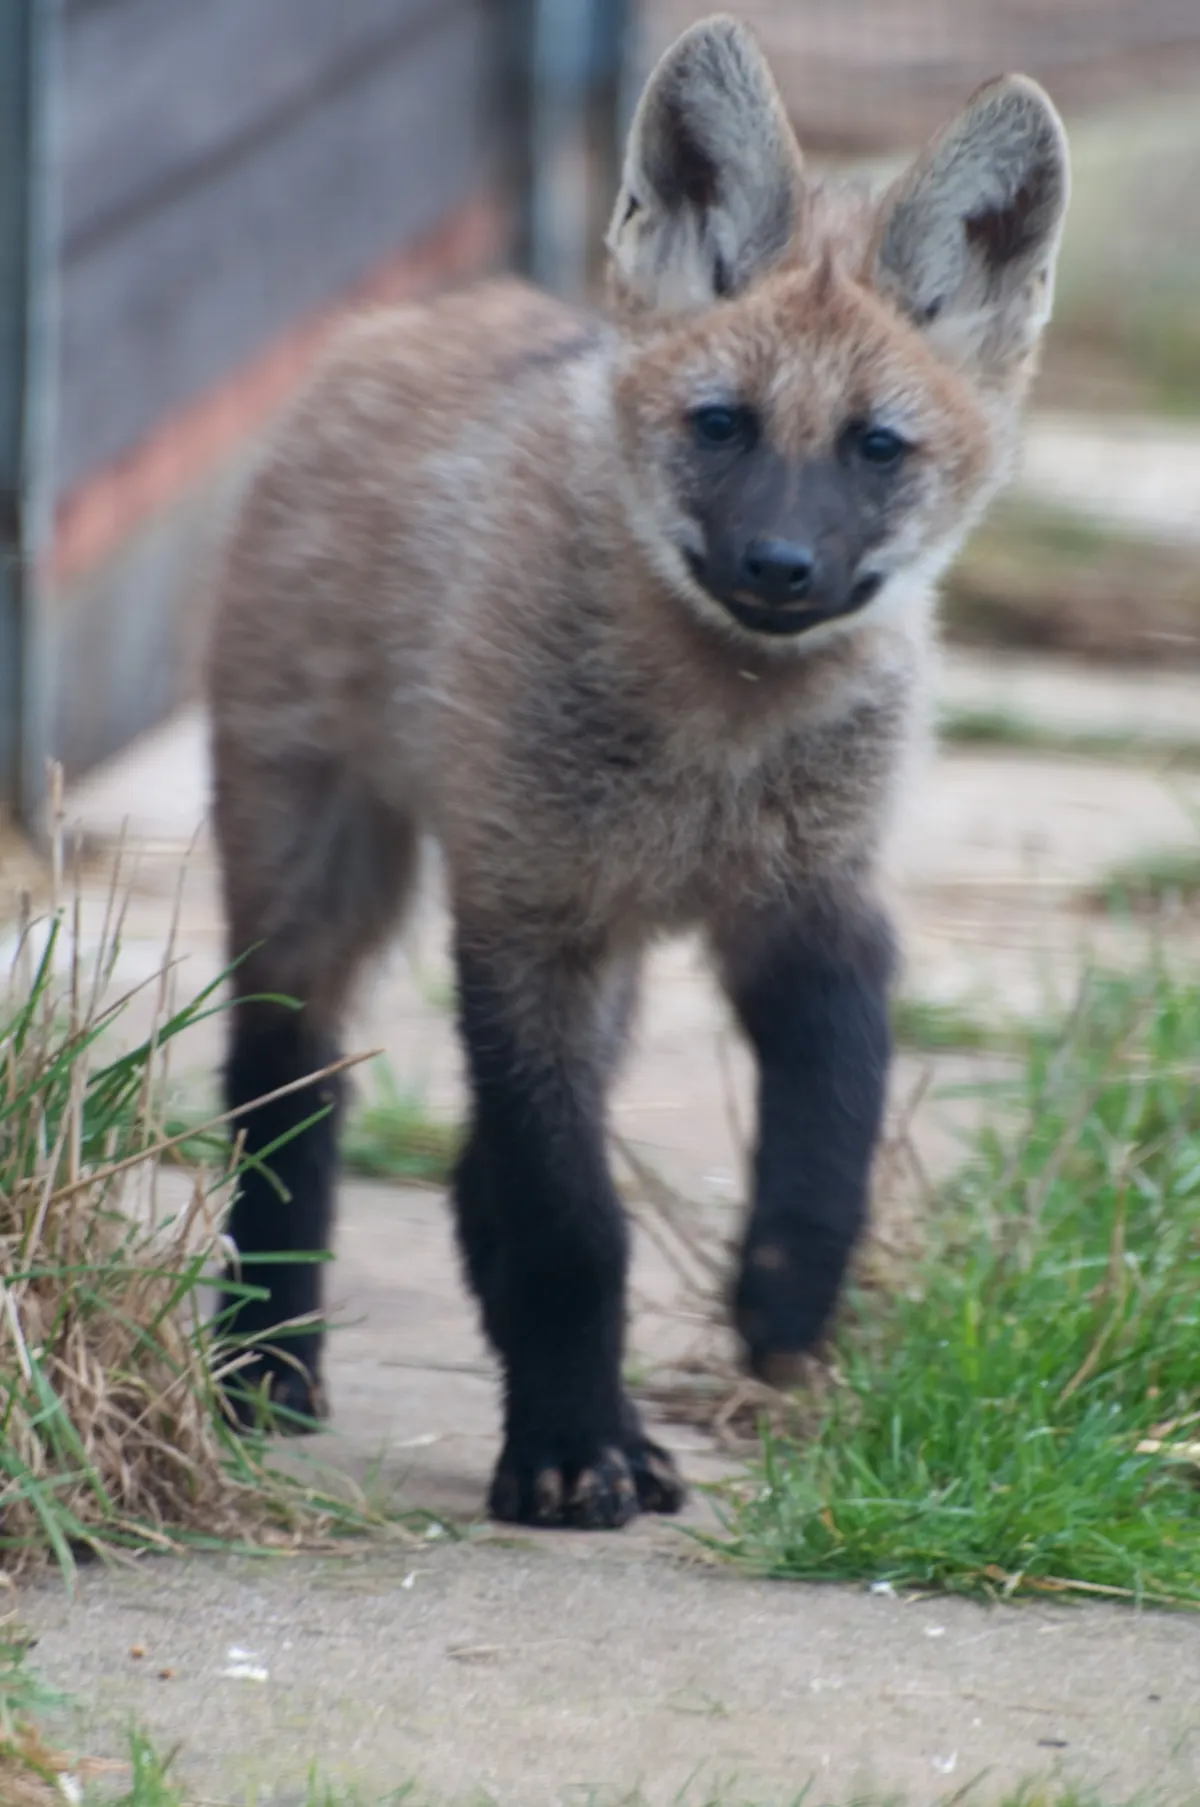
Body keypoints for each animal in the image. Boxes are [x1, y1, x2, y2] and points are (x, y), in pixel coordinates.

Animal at [206, 15, 1069, 1528]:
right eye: (722, 425)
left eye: (877, 446)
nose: (779, 568)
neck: (710, 761)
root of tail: (421, 316)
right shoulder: (525, 922)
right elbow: (574, 1227)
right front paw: (564, 1448)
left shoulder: (815, 908)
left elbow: (824, 1142)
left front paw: (777, 1309)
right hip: (314, 881)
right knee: (285, 1094)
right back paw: (265, 1360)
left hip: (592, 967)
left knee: (472, 1172)